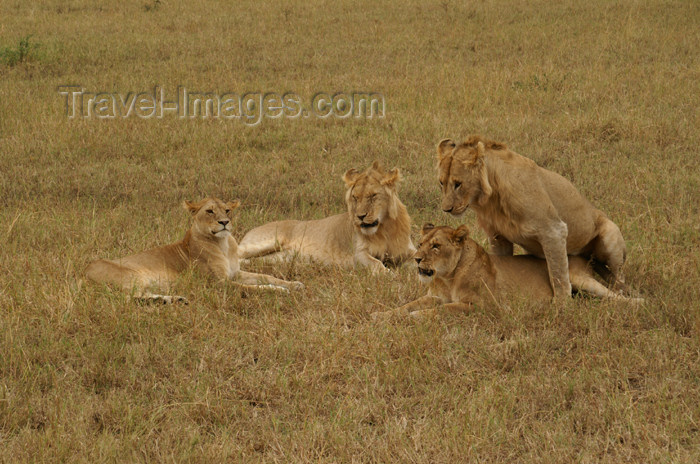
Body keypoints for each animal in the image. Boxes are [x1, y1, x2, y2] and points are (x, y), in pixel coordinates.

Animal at [85, 197, 304, 302]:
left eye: (227, 210)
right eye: (210, 211)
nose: (224, 222)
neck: (224, 245)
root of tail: (83, 273)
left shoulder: (235, 273)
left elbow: (266, 277)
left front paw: (294, 284)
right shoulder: (219, 284)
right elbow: (254, 288)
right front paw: (279, 290)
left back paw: (175, 300)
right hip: (133, 276)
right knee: (130, 298)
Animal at [374, 224, 644, 320]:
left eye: (436, 246)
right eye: (420, 243)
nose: (416, 259)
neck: (448, 277)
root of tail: (579, 254)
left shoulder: (482, 306)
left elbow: (443, 309)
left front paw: (416, 316)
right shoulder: (433, 295)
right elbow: (407, 305)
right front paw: (382, 315)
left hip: (578, 278)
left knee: (614, 295)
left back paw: (639, 303)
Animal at [434, 136, 628, 300]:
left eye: (458, 184)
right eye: (441, 183)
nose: (446, 209)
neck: (492, 196)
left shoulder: (553, 230)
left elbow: (558, 275)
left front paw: (562, 306)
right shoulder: (498, 237)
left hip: (610, 234)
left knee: (619, 278)